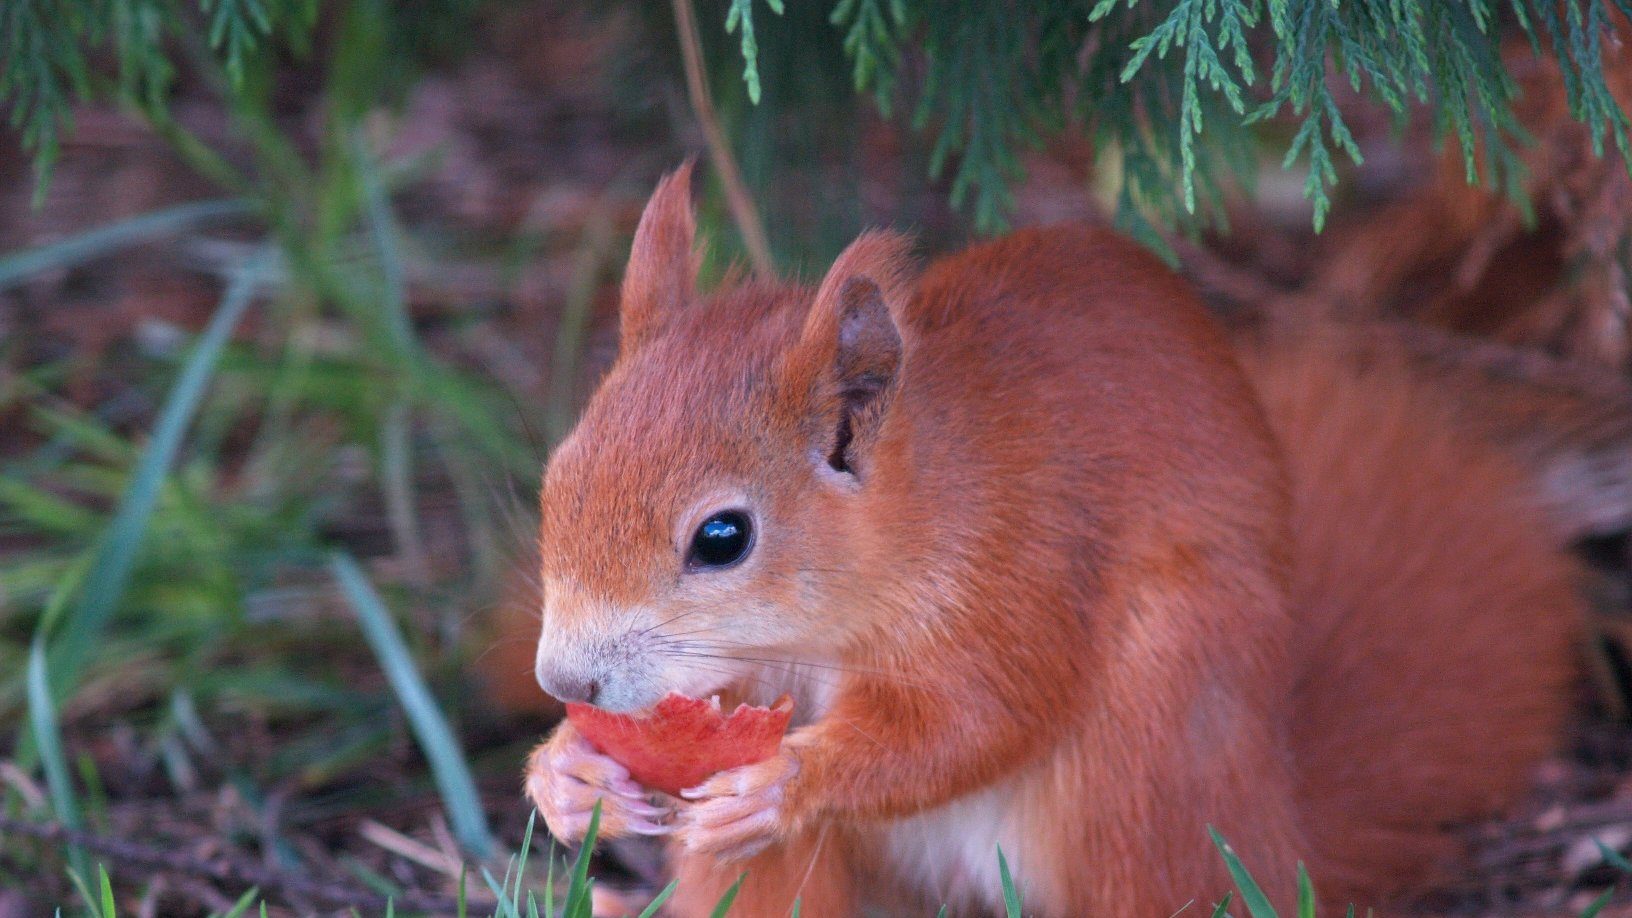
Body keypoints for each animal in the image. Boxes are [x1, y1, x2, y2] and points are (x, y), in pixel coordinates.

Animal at [520, 162, 1597, 915]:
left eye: (723, 536)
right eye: (555, 478)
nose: (566, 681)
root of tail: (1274, 823)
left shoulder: (1014, 572)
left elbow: (978, 718)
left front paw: (787, 776)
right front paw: (568, 776)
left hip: (1147, 749)